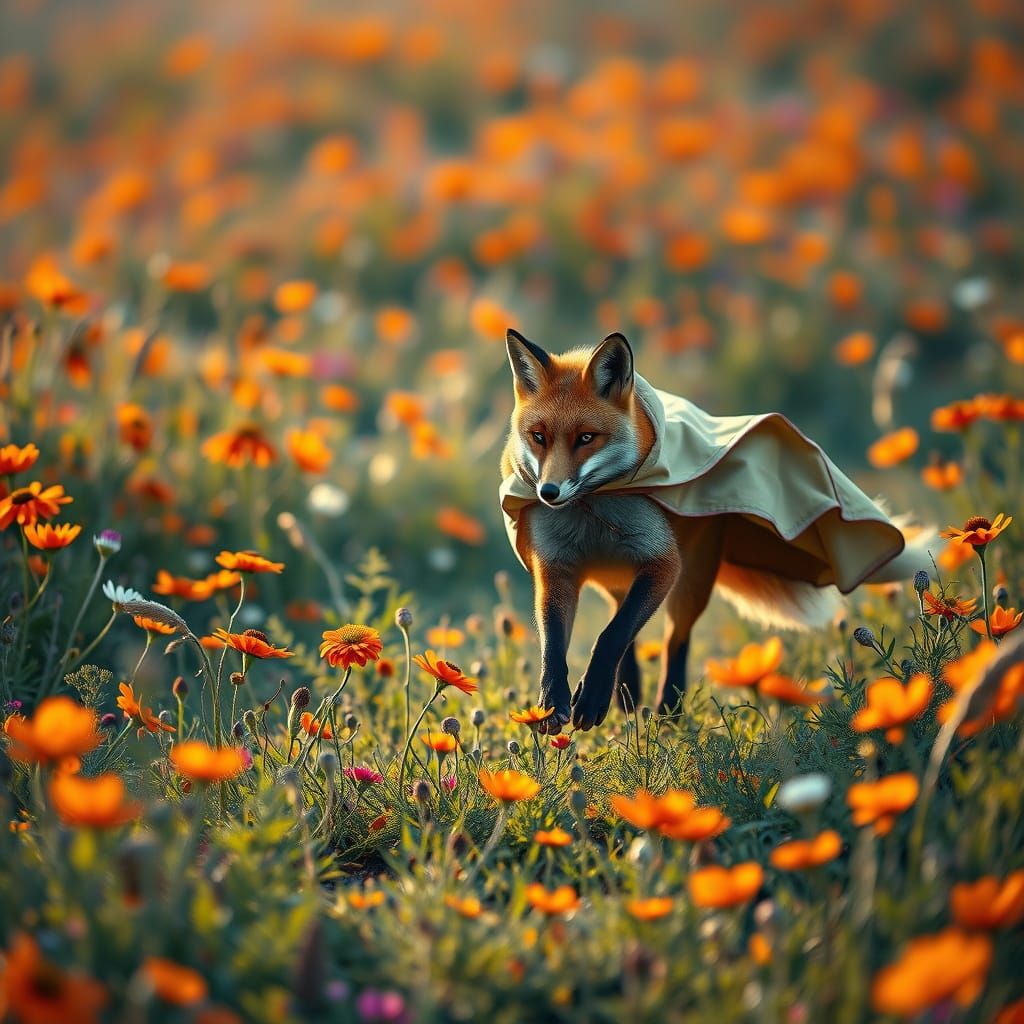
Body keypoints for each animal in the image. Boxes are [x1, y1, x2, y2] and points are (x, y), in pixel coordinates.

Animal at [499, 328, 933, 734]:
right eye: (539, 437)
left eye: (586, 438)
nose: (548, 492)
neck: (594, 508)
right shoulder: (555, 569)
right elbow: (556, 644)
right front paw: (553, 700)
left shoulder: (662, 563)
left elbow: (610, 637)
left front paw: (591, 698)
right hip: (620, 580)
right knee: (625, 627)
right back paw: (627, 693)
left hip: (688, 584)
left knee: (673, 641)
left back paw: (667, 712)